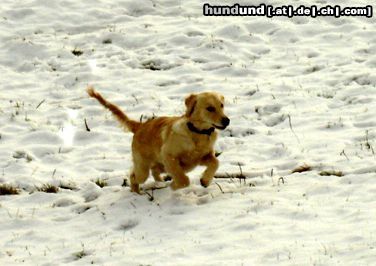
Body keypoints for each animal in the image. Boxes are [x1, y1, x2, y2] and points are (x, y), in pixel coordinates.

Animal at [86, 87, 229, 193]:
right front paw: (174, 186)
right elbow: (183, 179)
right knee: (133, 176)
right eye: (210, 108)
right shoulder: (168, 156)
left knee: (154, 171)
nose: (227, 120)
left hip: (160, 165)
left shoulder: (203, 156)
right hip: (143, 168)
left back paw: (159, 182)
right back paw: (136, 192)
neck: (197, 133)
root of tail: (140, 126)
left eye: (221, 105)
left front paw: (205, 180)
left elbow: (216, 162)